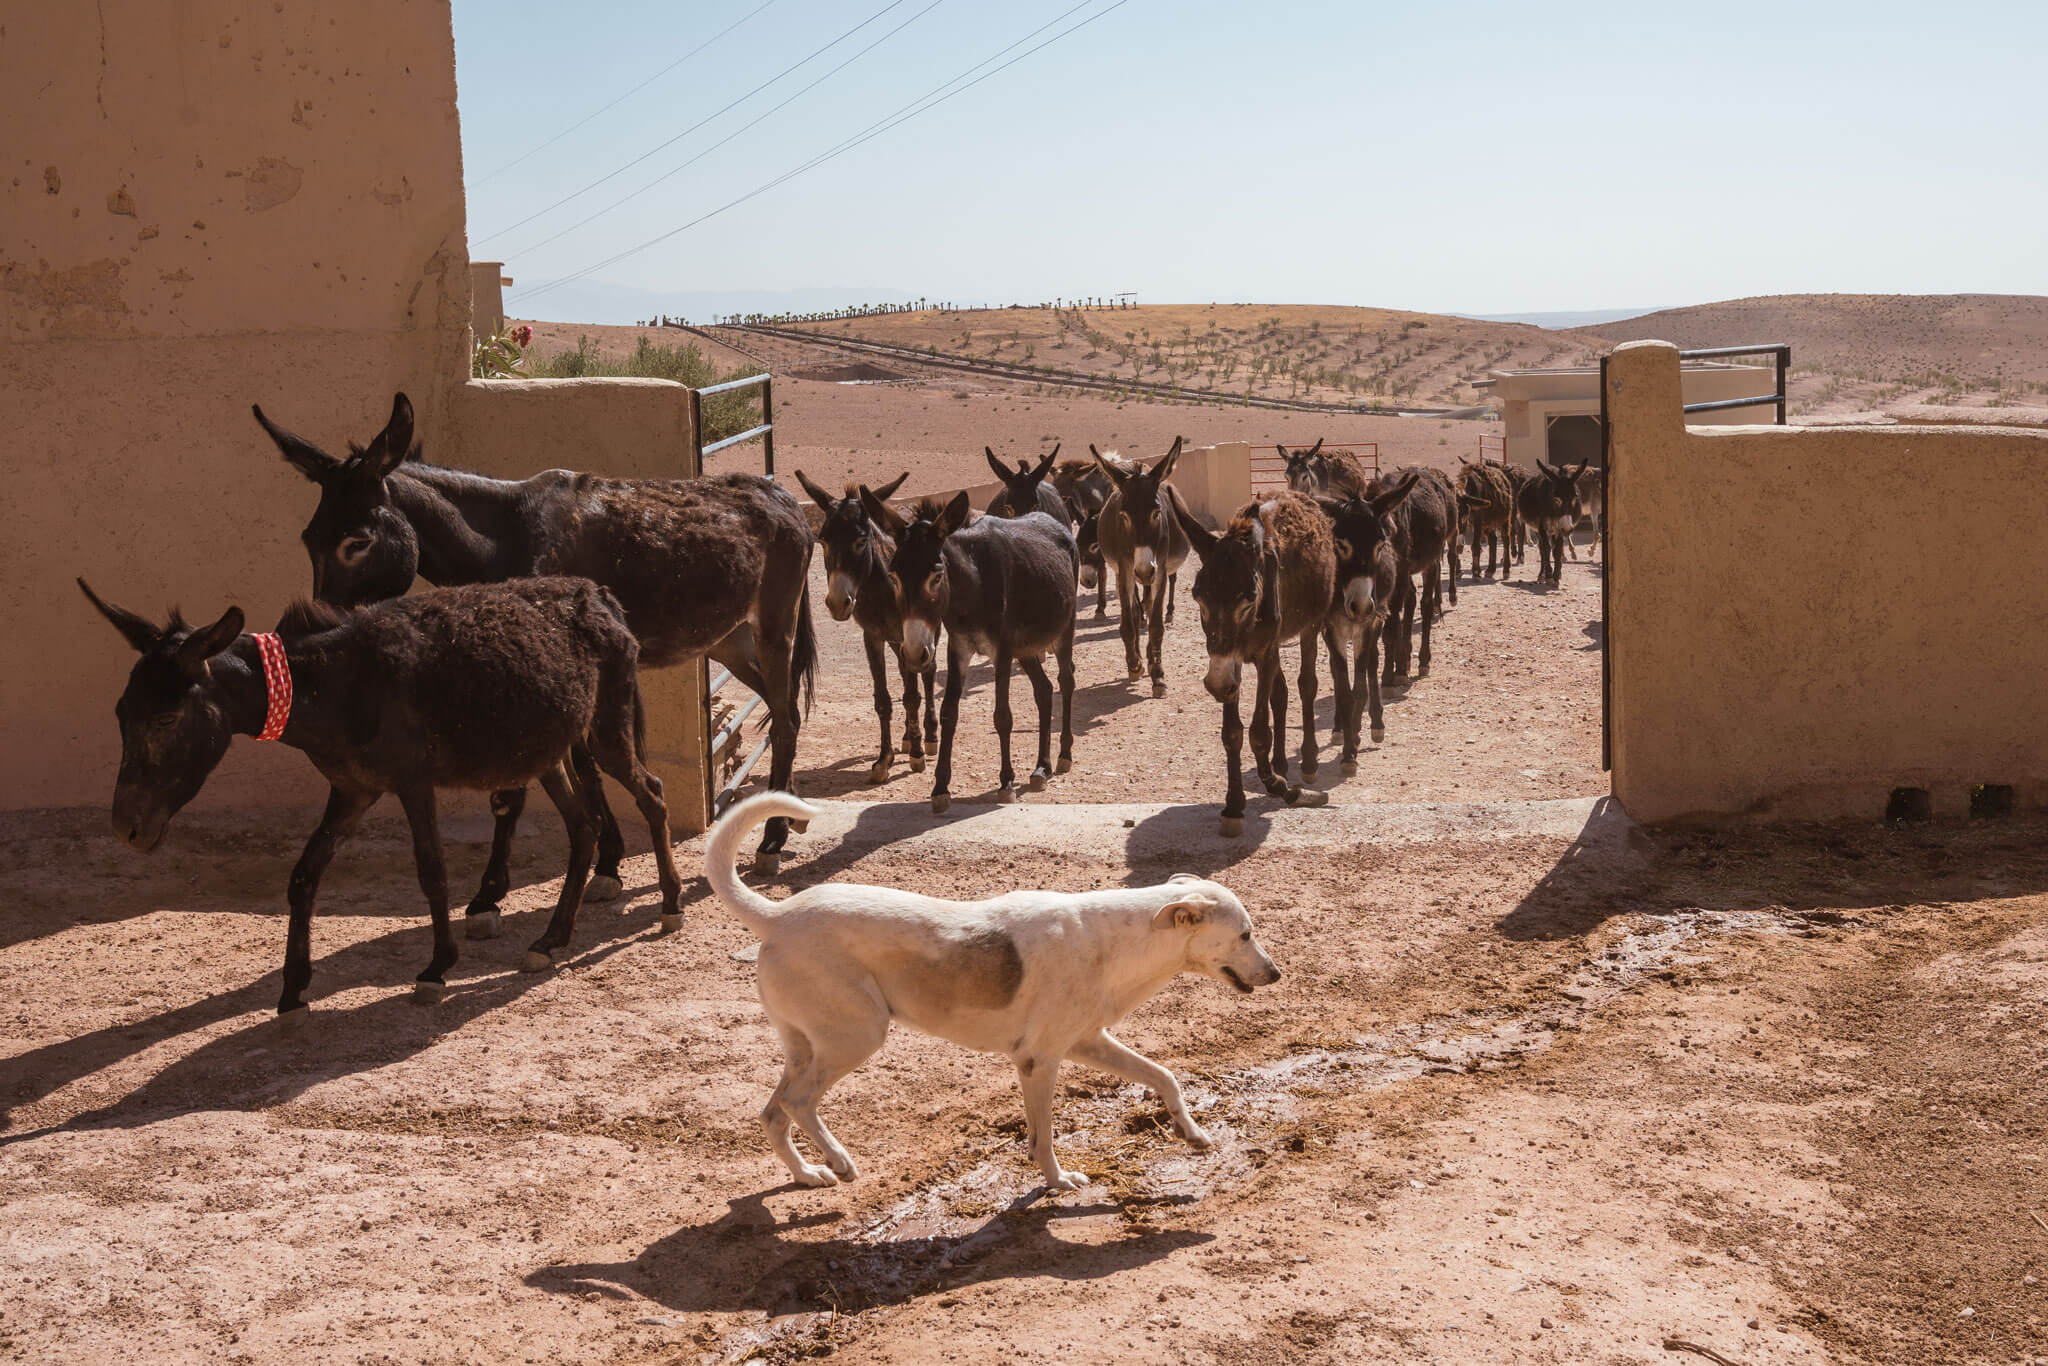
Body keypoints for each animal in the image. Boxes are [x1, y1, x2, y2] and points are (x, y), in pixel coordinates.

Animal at [708, 794, 1277, 1187]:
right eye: (1246, 934)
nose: (1275, 974)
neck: (1121, 937)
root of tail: (779, 915)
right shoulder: (1039, 1061)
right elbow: (1045, 1135)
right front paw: (1058, 1182)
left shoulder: (1086, 1042)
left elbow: (1165, 1077)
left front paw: (1192, 1133)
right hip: (858, 1035)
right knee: (799, 1103)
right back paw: (839, 1160)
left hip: (805, 1046)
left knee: (773, 1113)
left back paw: (808, 1174)